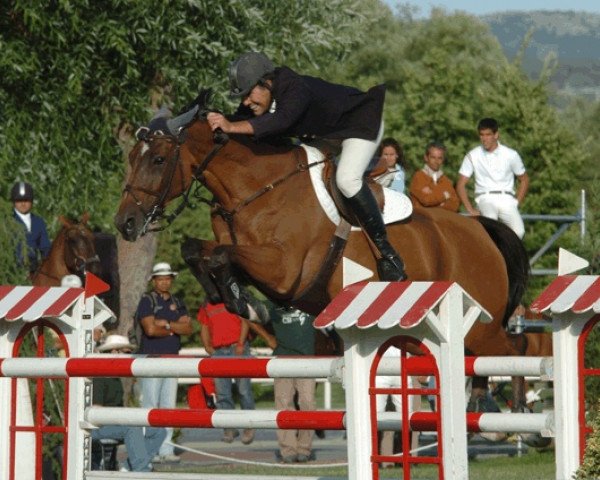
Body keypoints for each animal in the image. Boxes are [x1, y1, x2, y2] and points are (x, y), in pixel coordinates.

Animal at [116, 97, 528, 408]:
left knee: (514, 351)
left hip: (481, 327)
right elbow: (198, 250)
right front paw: (234, 299)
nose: (125, 223)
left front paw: (244, 302)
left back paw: (515, 416)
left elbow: (221, 256)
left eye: (158, 160)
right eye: (131, 157)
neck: (257, 188)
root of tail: (480, 229)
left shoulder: (284, 271)